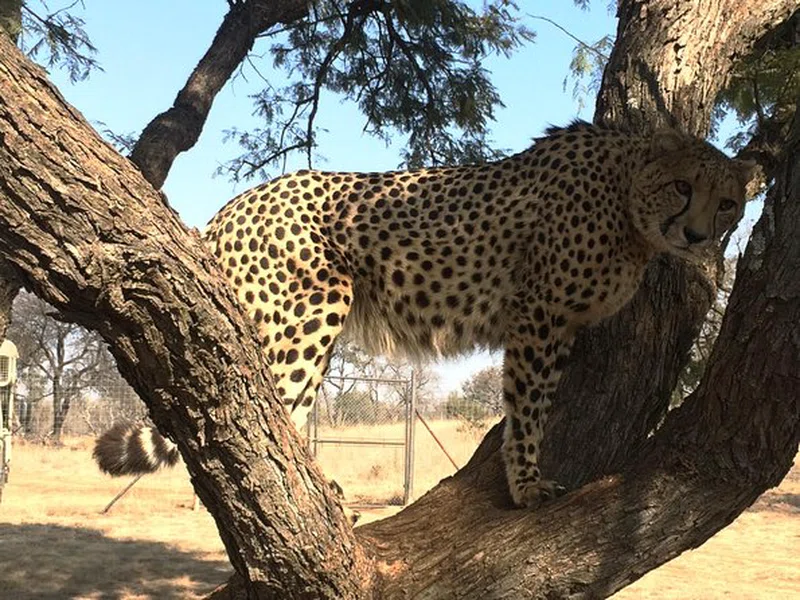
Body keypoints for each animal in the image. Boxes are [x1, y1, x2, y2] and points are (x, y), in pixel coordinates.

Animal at [94, 120, 753, 508]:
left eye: (727, 203)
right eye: (682, 187)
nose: (699, 236)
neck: (628, 198)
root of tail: (235, 204)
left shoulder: (559, 325)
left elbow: (537, 400)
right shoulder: (537, 314)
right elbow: (529, 408)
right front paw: (525, 483)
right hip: (313, 307)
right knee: (263, 410)